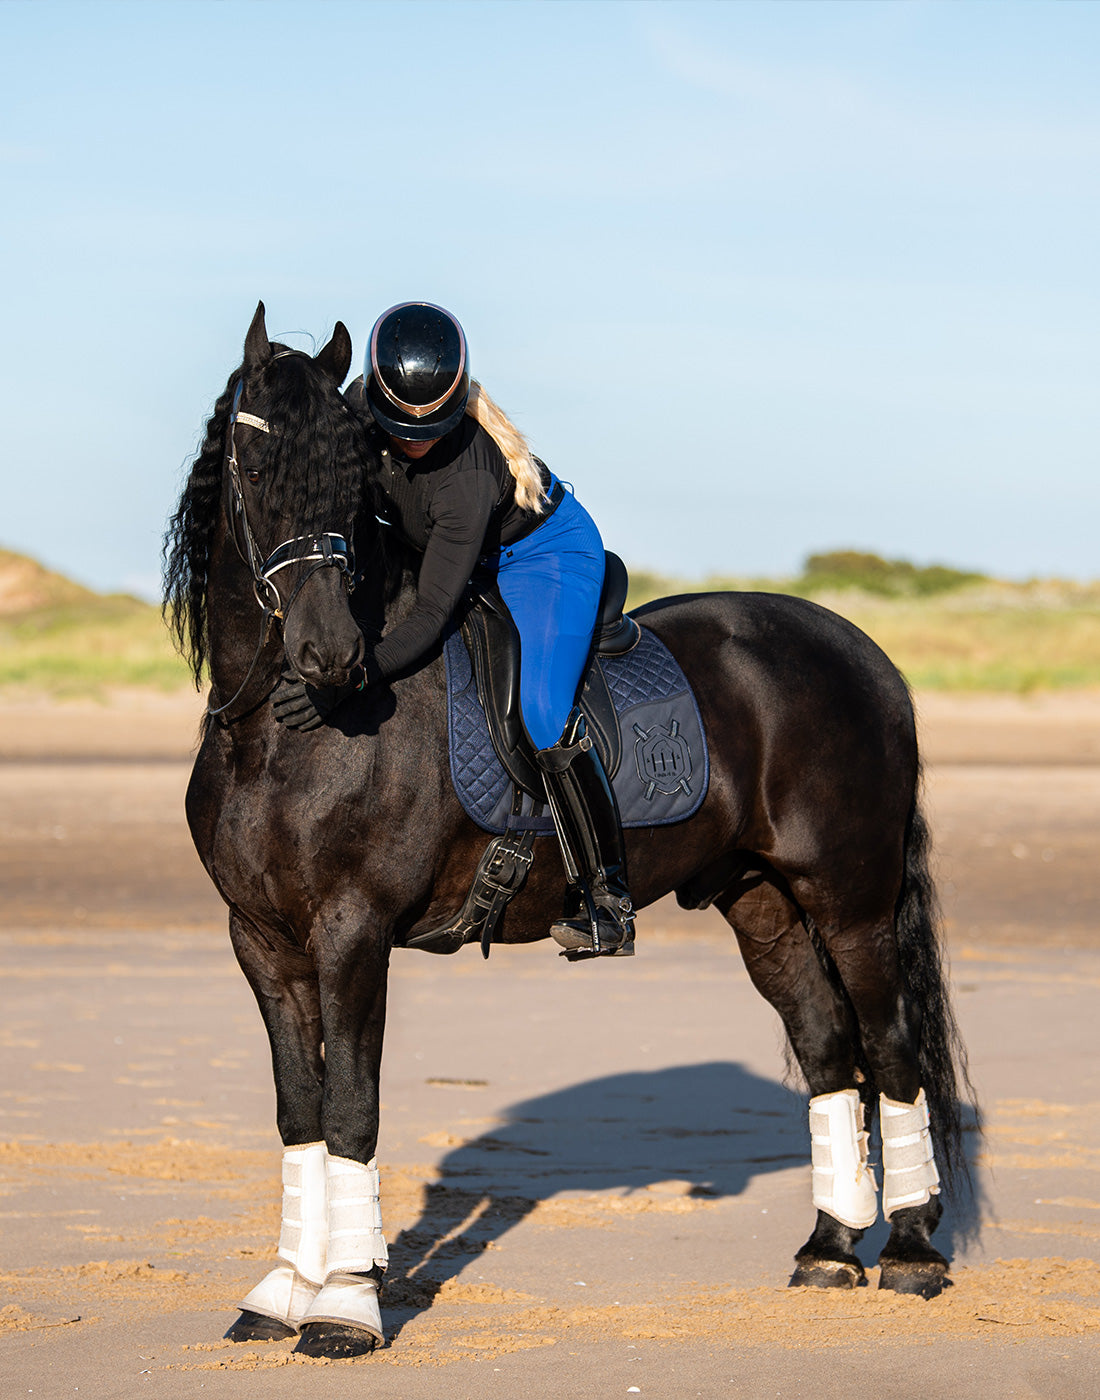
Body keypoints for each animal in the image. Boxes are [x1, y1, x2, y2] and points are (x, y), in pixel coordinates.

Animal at [164, 303, 974, 1360]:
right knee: (830, 1046)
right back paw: (830, 1249)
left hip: (852, 899)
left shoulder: (351, 934)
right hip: (762, 902)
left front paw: (343, 1307)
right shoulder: (260, 940)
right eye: (257, 472)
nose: (329, 655)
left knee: (892, 1046)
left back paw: (911, 1252)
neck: (280, 732)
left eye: (349, 481)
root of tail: (864, 654)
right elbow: (299, 1110)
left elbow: (351, 1109)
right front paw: (282, 1296)